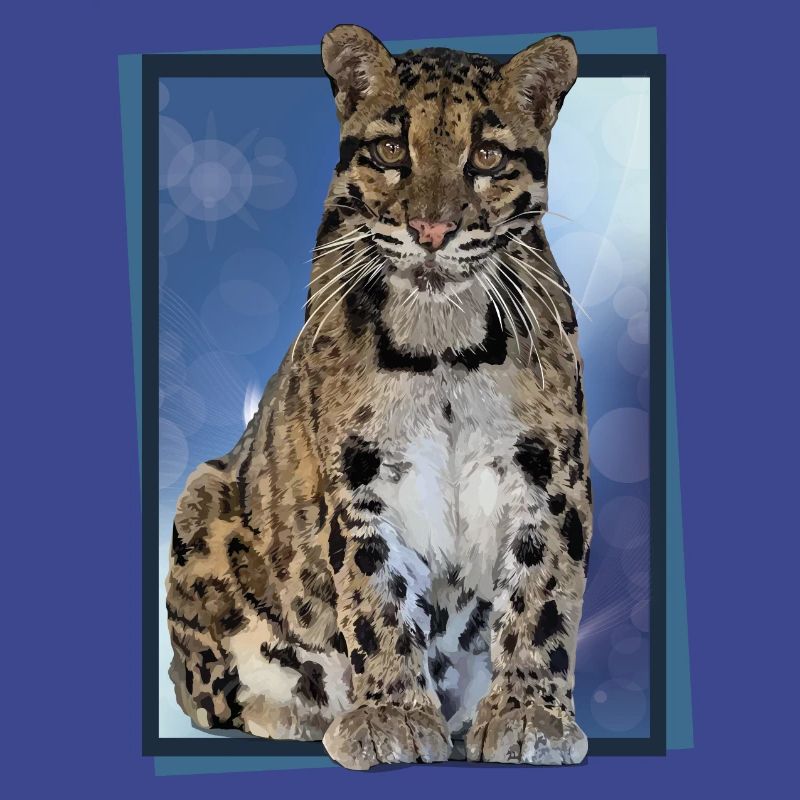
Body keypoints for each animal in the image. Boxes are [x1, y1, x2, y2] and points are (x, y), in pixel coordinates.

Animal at [166, 24, 592, 769]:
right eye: (393, 149)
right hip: (200, 496)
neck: (443, 343)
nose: (431, 231)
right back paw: (301, 710)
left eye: (486, 156)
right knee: (207, 693)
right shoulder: (358, 475)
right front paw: (391, 714)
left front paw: (529, 713)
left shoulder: (549, 472)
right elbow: (375, 596)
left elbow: (542, 595)